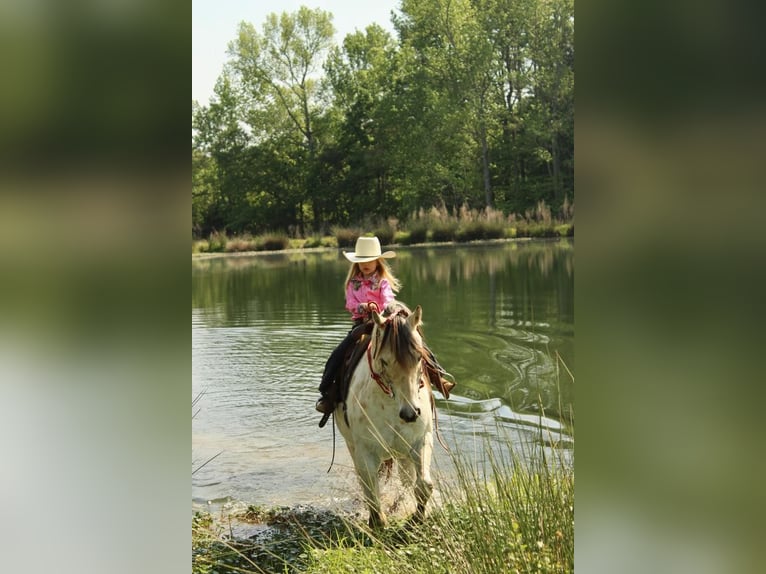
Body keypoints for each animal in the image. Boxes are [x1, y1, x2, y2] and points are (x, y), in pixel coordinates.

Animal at [334, 302, 436, 532]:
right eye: (384, 361)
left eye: (419, 357)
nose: (410, 413)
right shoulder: (365, 450)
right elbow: (371, 487)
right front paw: (378, 522)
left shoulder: (420, 441)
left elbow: (424, 485)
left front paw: (417, 518)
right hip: (353, 446)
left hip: (403, 454)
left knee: (407, 479)